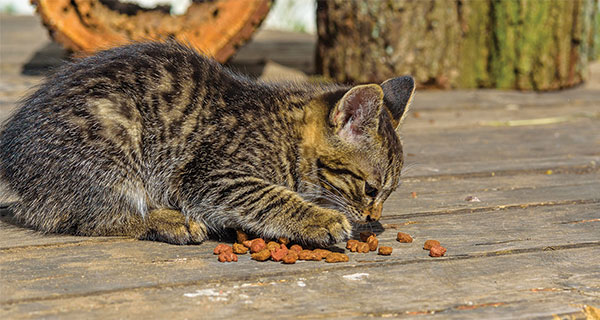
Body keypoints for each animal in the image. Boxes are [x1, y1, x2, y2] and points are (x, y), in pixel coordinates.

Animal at [0, 41, 412, 246]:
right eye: (370, 189)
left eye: (388, 193)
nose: (373, 218)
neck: (285, 130)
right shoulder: (210, 174)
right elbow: (270, 196)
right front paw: (319, 218)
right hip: (115, 142)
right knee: (97, 219)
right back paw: (171, 221)